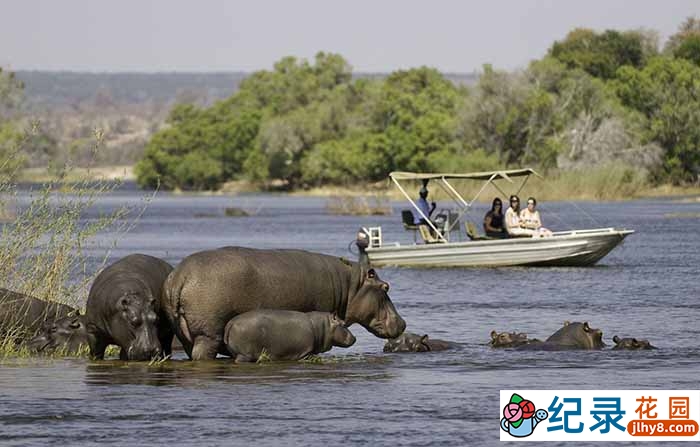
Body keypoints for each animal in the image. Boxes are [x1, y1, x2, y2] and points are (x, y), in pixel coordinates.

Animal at [224, 312, 356, 364]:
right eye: (343, 324)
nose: (355, 338)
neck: (323, 326)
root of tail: (231, 322)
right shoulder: (305, 352)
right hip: (244, 355)